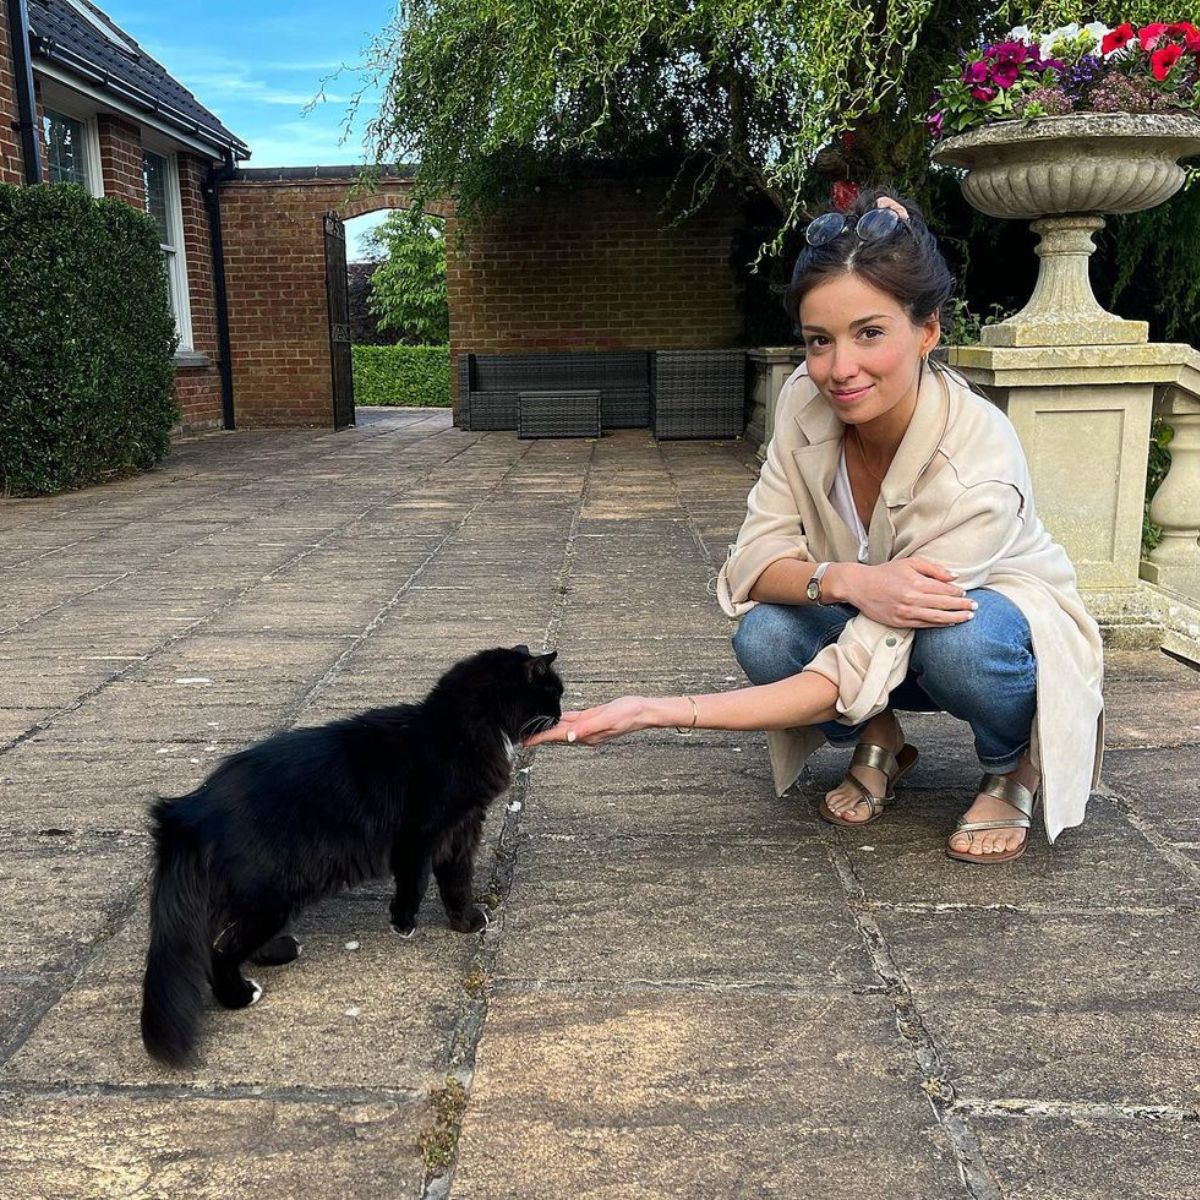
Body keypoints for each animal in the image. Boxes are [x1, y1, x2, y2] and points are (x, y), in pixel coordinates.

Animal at [140, 648, 561, 1070]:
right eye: (553, 693)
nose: (560, 714)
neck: (456, 730)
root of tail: (188, 810)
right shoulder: (420, 836)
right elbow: (416, 883)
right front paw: (403, 924)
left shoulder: (459, 834)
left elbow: (456, 884)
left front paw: (465, 923)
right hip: (273, 895)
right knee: (221, 952)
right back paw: (241, 996)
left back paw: (279, 951)